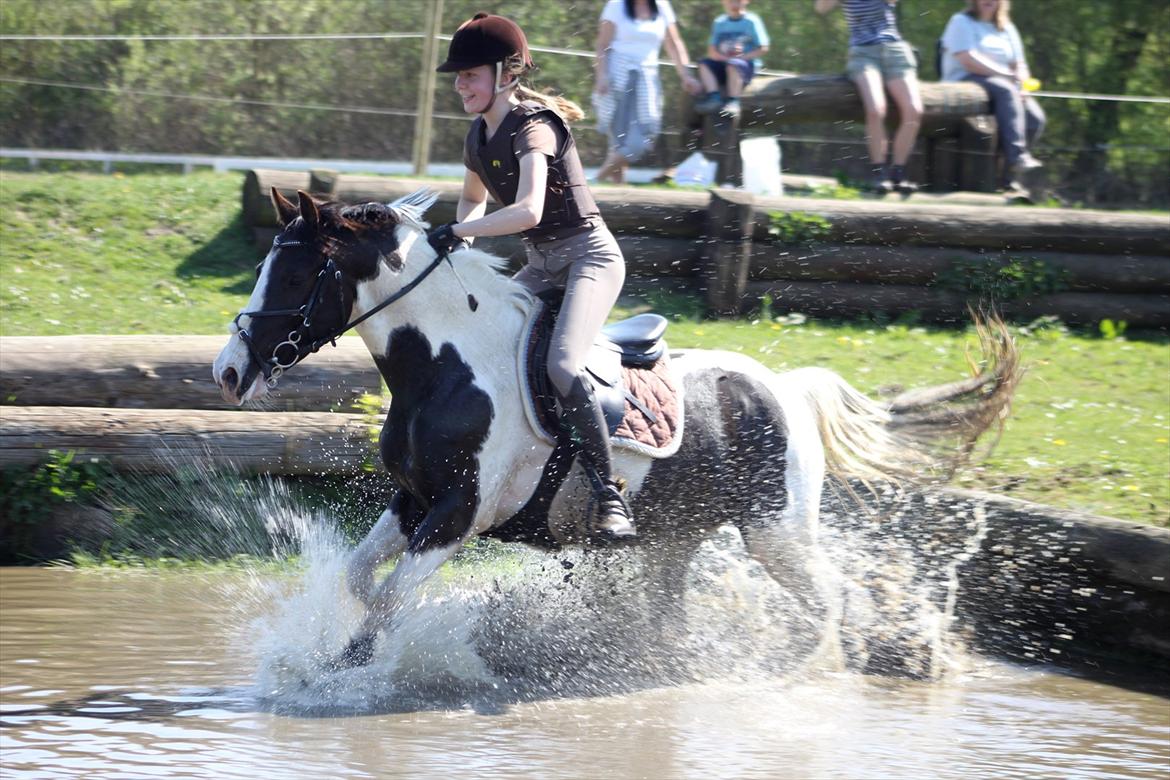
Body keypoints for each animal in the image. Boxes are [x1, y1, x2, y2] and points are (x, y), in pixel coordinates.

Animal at [215, 189, 1020, 673]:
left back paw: (808, 671)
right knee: (685, 609)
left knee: (830, 601)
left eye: (294, 277)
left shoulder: (458, 515)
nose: (228, 370)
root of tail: (782, 388)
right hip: (677, 536)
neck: (445, 366)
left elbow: (386, 598)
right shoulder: (412, 502)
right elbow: (360, 578)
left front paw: (355, 671)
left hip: (776, 530)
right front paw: (341, 660)